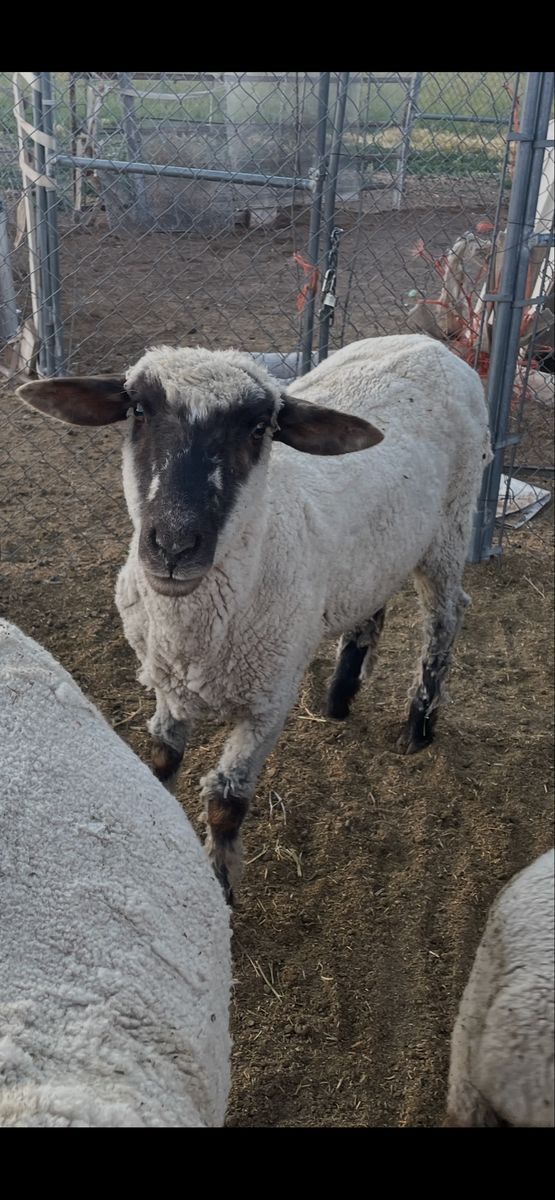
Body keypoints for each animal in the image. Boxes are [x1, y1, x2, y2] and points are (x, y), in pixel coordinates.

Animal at [18, 333, 492, 903]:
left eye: (260, 428)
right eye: (138, 411)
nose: (173, 545)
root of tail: (426, 342)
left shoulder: (268, 704)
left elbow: (227, 803)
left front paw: (222, 887)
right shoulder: (167, 682)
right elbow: (161, 763)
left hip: (450, 527)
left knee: (445, 617)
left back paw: (418, 726)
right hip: (379, 551)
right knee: (370, 606)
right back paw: (339, 699)